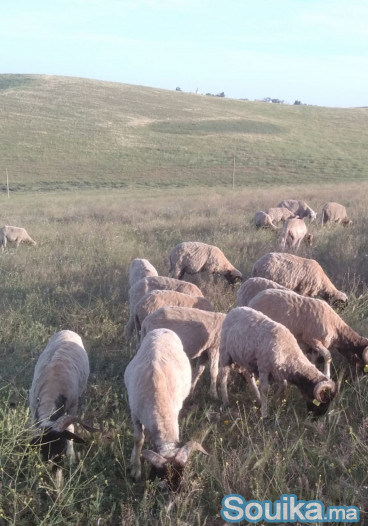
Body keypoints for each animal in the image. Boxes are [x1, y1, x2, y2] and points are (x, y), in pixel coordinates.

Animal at [28, 332, 92, 464]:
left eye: (60, 442)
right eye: (42, 447)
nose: (52, 462)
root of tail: (68, 330)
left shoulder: (73, 405)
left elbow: (71, 428)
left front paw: (71, 457)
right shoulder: (33, 407)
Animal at [124, 328, 207, 488]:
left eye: (181, 479)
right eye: (161, 478)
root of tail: (162, 329)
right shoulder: (135, 413)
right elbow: (138, 440)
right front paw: (135, 469)